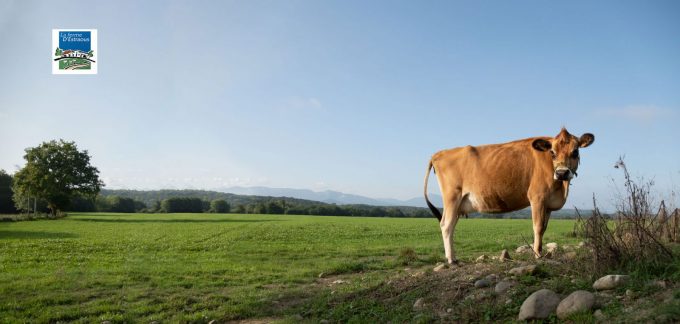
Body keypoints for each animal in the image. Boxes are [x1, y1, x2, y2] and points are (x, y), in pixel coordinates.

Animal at [422, 126, 592, 264]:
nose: (562, 173)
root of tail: (439, 154)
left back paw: (454, 257)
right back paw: (451, 259)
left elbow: (543, 228)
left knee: (450, 225)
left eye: (575, 151)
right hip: (452, 196)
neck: (561, 189)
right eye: (552, 152)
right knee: (446, 225)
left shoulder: (549, 203)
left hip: (459, 204)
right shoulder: (537, 197)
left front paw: (541, 252)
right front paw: (537, 255)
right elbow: (537, 227)